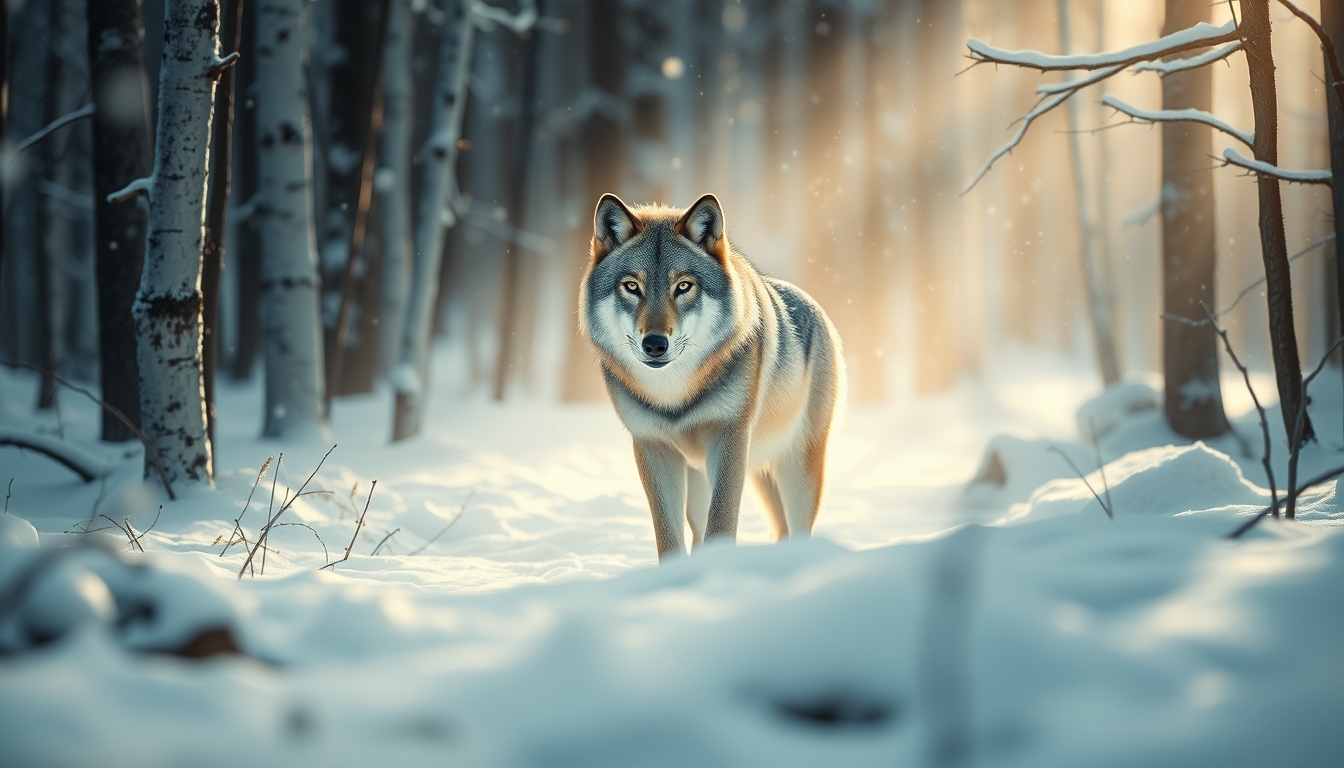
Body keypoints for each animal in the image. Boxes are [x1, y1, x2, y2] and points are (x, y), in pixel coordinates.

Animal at [579, 193, 845, 560]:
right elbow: (669, 536)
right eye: (632, 286)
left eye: (683, 286)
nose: (655, 344)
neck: (674, 396)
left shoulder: (730, 437)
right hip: (702, 477)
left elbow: (721, 523)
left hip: (796, 469)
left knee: (797, 529)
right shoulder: (652, 447)